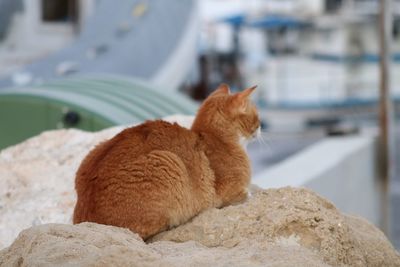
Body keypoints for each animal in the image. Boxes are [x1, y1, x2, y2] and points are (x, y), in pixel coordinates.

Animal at [72, 85, 260, 240]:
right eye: (256, 117)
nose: (260, 127)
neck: (216, 139)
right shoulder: (231, 192)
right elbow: (245, 194)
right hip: (169, 162)